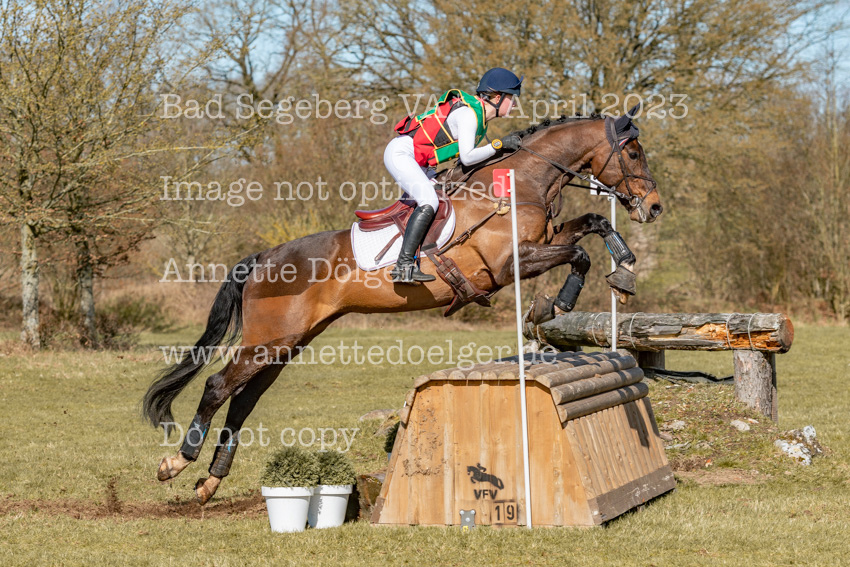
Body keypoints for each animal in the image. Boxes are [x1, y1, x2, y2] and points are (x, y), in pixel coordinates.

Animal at [143, 110, 662, 504]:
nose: (654, 207)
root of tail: (263, 257)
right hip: (270, 340)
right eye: (634, 152)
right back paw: (176, 462)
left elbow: (592, 225)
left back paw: (209, 482)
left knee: (244, 399)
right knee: (217, 386)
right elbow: (579, 254)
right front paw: (560, 302)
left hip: (287, 343)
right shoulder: (510, 264)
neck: (521, 184)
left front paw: (623, 272)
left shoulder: (542, 243)